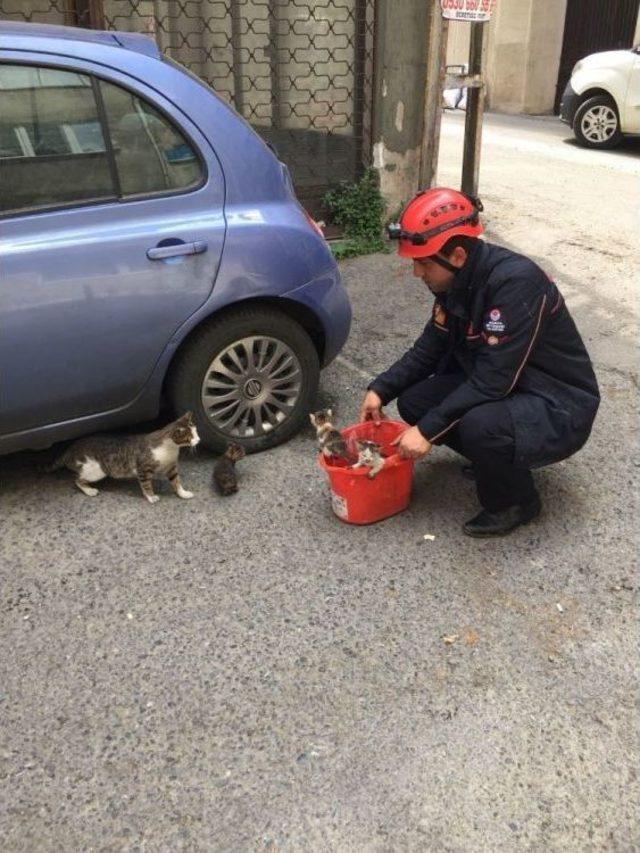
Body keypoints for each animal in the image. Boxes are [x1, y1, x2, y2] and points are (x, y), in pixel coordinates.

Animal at [49, 412, 200, 500]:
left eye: (196, 432)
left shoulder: (171, 467)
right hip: (96, 470)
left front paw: (183, 493)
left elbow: (176, 481)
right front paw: (151, 496)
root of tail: (70, 449)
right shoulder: (143, 469)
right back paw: (89, 490)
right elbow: (146, 484)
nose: (199, 440)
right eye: (190, 437)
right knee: (77, 479)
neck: (171, 449)